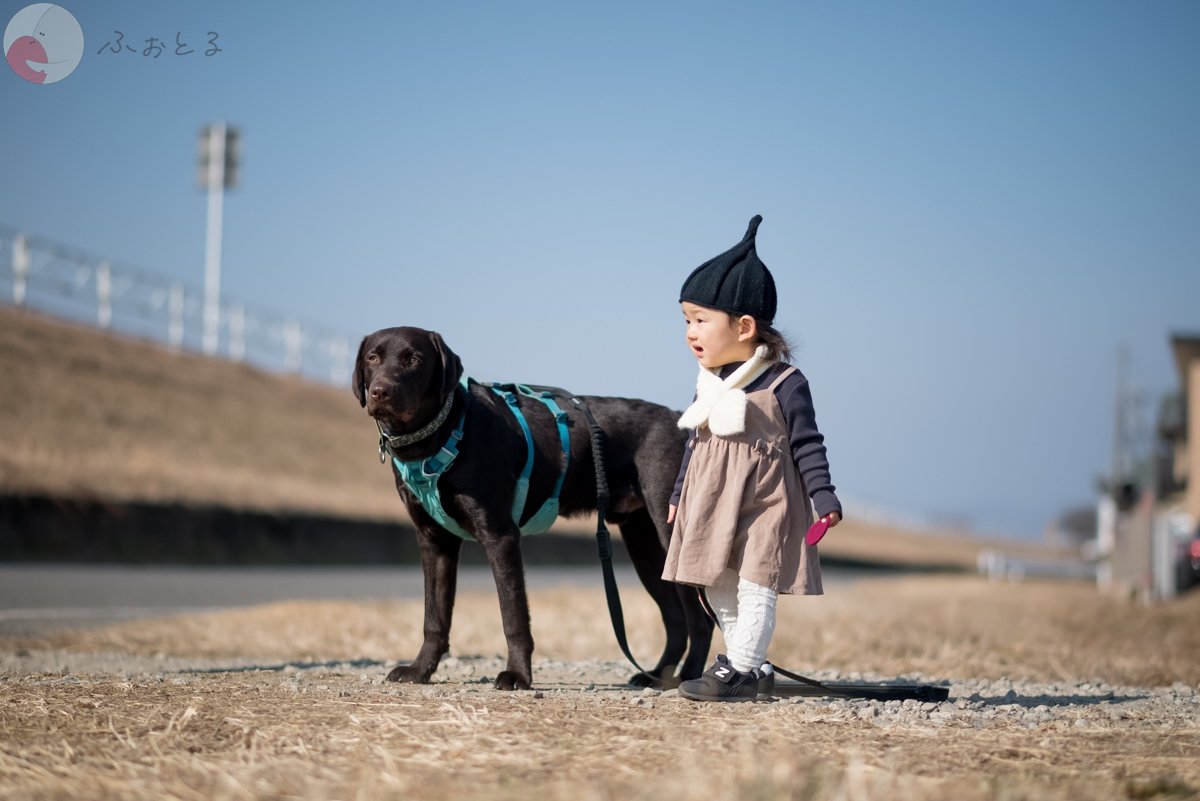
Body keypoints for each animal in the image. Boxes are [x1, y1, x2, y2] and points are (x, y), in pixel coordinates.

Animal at [352, 326, 710, 690]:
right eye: (373, 357)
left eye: (414, 359)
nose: (380, 391)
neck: (443, 433)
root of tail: (680, 419)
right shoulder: (434, 543)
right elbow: (434, 618)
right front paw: (420, 669)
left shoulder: (500, 536)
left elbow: (513, 616)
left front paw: (518, 674)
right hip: (645, 547)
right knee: (675, 618)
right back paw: (657, 675)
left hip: (670, 532)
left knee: (699, 620)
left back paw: (687, 676)